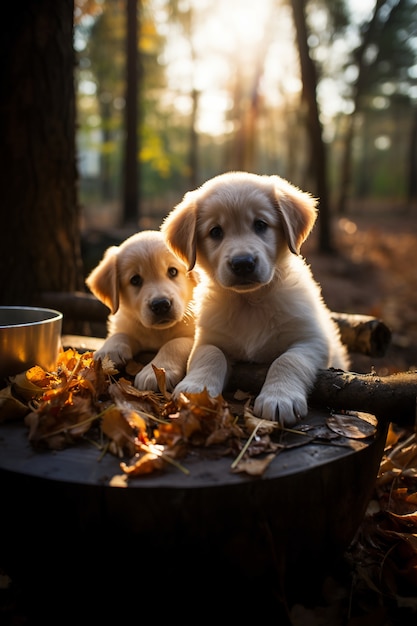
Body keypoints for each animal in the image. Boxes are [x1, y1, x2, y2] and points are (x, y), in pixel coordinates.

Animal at [85, 229, 197, 390]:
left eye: (173, 272)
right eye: (135, 280)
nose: (161, 304)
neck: (159, 332)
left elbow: (175, 343)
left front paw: (154, 373)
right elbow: (119, 333)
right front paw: (110, 350)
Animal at [161, 171, 350, 424]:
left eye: (260, 225)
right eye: (215, 231)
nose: (243, 263)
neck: (250, 301)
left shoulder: (312, 339)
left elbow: (288, 360)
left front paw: (279, 397)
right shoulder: (208, 338)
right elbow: (209, 355)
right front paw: (195, 390)